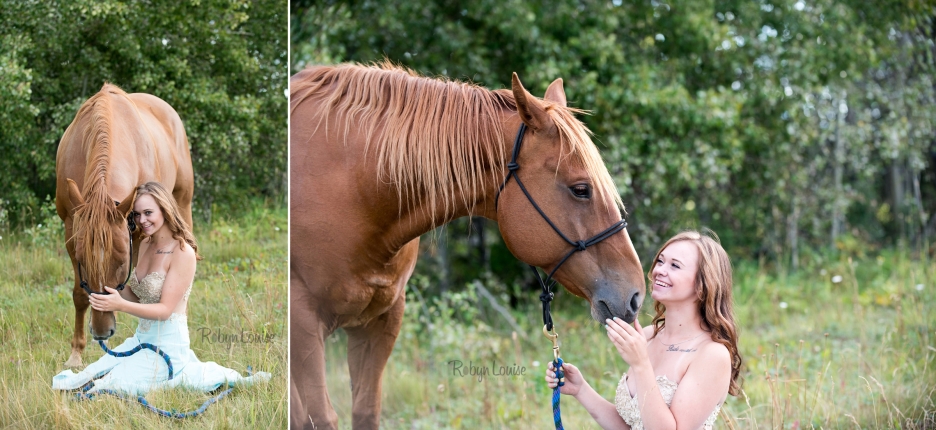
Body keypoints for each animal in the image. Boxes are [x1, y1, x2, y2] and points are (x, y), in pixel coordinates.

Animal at [54, 83, 194, 366]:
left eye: (120, 263)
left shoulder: (140, 233)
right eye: (84, 262)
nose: (101, 332)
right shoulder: (71, 229)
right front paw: (75, 354)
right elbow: (79, 294)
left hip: (183, 201)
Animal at [288, 62, 648, 428]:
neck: (355, 189)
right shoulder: (303, 323)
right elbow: (318, 417)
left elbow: (365, 411)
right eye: (580, 189)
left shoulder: (381, 323)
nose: (635, 295)